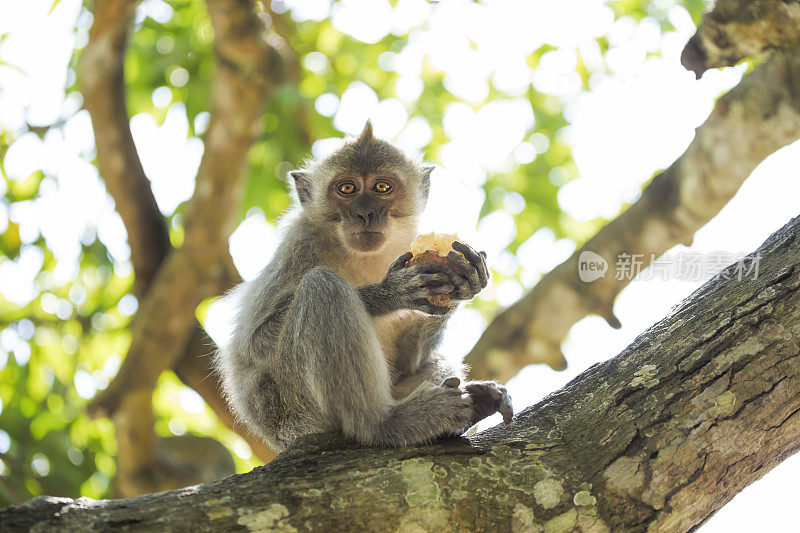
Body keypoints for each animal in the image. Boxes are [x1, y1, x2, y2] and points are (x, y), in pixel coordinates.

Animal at [214, 122, 512, 450]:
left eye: (381, 187)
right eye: (347, 189)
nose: (365, 213)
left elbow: (411, 358)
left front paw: (466, 281)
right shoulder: (298, 245)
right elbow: (255, 343)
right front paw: (388, 294)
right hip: (296, 410)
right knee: (322, 286)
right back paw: (383, 423)